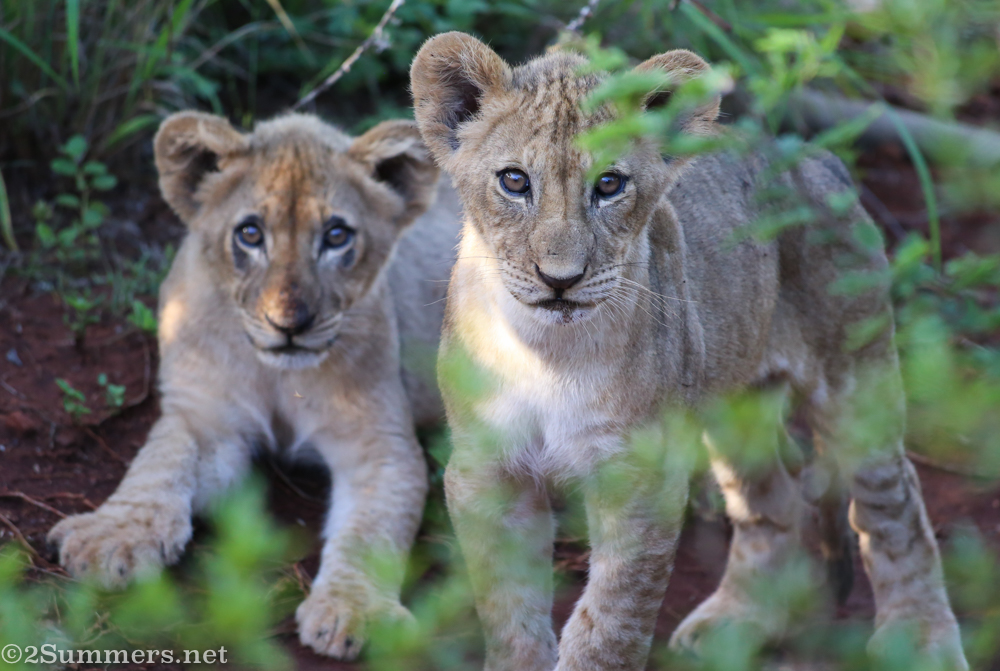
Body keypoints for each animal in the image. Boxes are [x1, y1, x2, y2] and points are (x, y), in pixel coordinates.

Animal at [47, 112, 461, 659]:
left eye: (336, 235)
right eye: (249, 233)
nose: (291, 324)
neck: (277, 376)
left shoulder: (382, 444)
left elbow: (371, 531)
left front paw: (357, 613)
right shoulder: (205, 418)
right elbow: (158, 464)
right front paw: (111, 538)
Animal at [410, 32, 967, 671]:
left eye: (609, 185)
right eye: (514, 181)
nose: (560, 280)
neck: (545, 351)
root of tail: (813, 156)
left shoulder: (640, 478)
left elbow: (609, 625)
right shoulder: (485, 470)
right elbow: (509, 612)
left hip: (855, 380)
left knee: (892, 504)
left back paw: (920, 637)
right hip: (733, 405)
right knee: (773, 503)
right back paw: (734, 624)